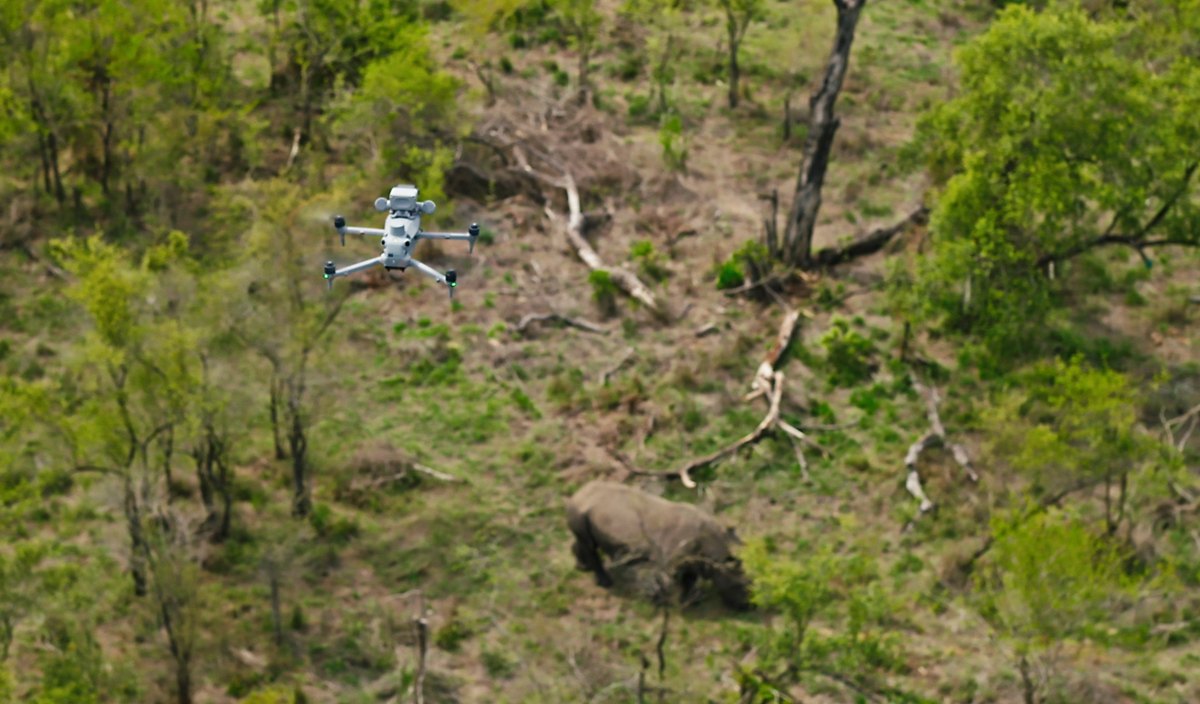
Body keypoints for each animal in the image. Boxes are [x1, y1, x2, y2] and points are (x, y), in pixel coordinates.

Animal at [565, 480, 752, 610]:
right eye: (739, 586)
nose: (747, 606)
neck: (715, 555)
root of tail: (576, 494)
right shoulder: (671, 559)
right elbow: (667, 580)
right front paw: (662, 602)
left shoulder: (693, 560)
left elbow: (689, 579)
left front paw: (690, 601)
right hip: (579, 510)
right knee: (589, 545)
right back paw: (605, 583)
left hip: (585, 511)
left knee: (586, 541)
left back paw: (582, 566)